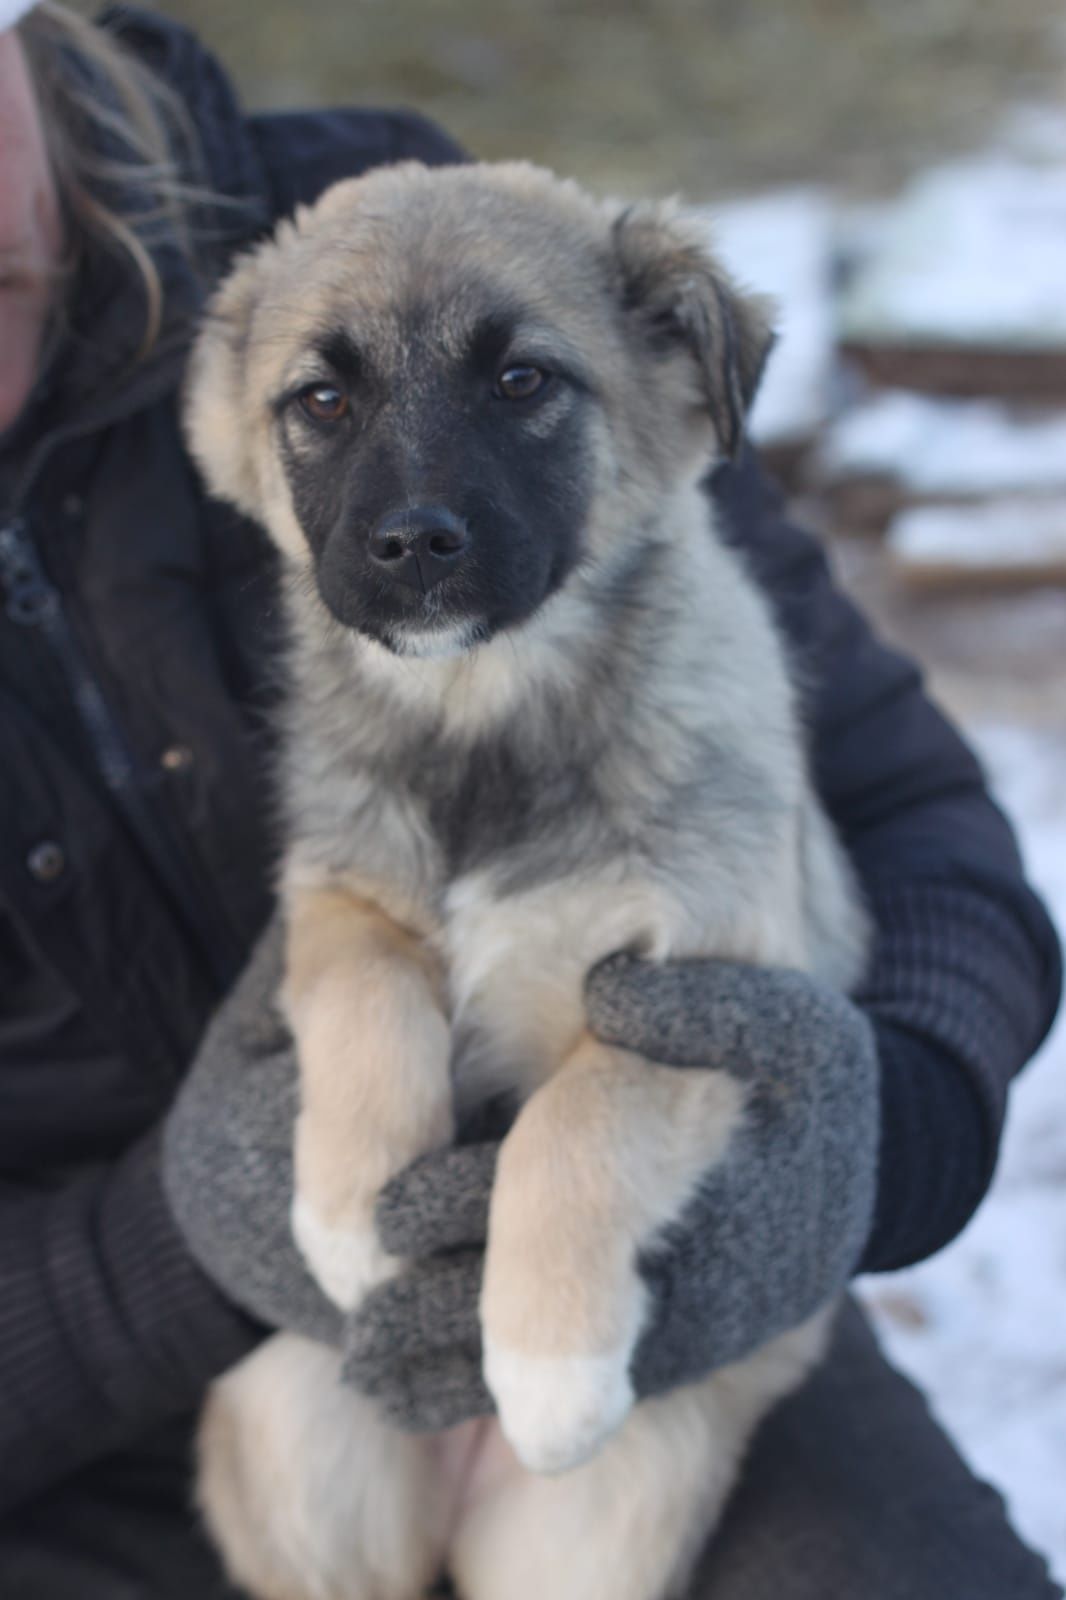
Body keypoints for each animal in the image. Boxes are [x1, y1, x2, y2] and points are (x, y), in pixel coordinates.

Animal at [182, 159, 864, 1600]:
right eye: (319, 401)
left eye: (521, 381)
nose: (410, 544)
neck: (481, 723)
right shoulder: (335, 891)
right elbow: (368, 993)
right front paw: (344, 1215)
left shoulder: (704, 991)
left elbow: (572, 1124)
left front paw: (549, 1369)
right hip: (293, 1433)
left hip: (592, 1533)